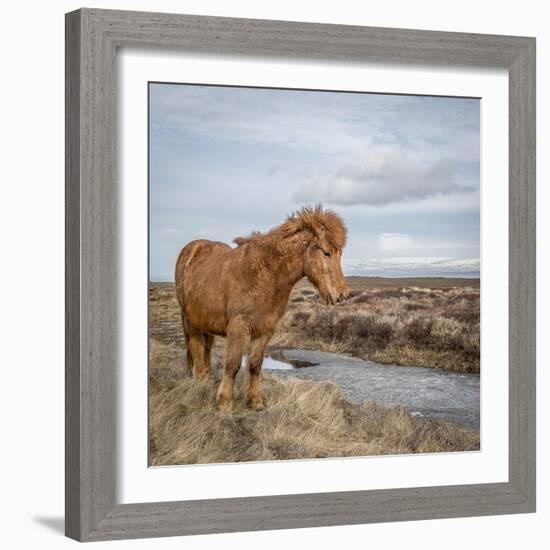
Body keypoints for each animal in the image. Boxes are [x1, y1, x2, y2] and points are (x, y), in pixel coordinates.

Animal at [176, 207, 350, 414]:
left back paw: (208, 381)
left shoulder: (265, 329)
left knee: (206, 349)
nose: (342, 295)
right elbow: (233, 365)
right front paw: (224, 404)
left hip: (206, 323)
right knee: (196, 349)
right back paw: (200, 383)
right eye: (326, 253)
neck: (265, 274)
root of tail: (192, 248)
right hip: (190, 321)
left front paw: (255, 401)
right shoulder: (238, 327)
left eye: (339, 254)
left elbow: (254, 365)